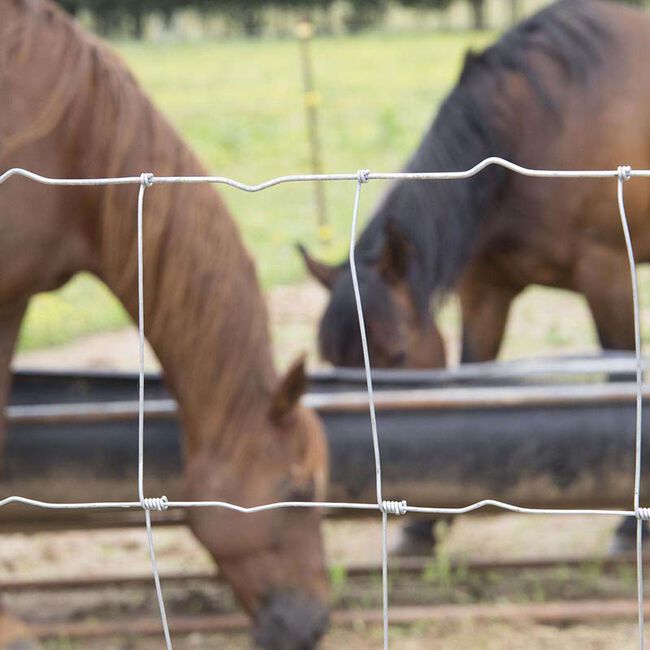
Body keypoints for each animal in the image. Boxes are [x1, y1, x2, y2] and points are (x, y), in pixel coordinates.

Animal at [299, 0, 650, 555]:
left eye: (397, 355)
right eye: (333, 365)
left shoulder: (608, 274)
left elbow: (621, 381)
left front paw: (627, 528)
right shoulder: (486, 293)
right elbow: (467, 382)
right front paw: (424, 527)